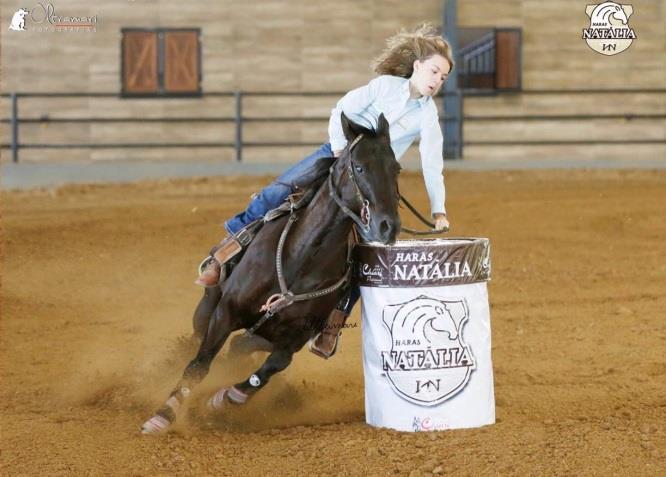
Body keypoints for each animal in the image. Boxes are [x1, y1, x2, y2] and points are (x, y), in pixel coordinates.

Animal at [140, 113, 400, 434]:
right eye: (360, 167)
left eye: (396, 168)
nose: (388, 226)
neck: (302, 258)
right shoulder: (226, 311)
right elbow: (199, 363)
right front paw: (163, 414)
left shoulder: (295, 338)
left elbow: (266, 372)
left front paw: (221, 400)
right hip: (208, 304)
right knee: (199, 337)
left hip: (262, 334)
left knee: (239, 347)